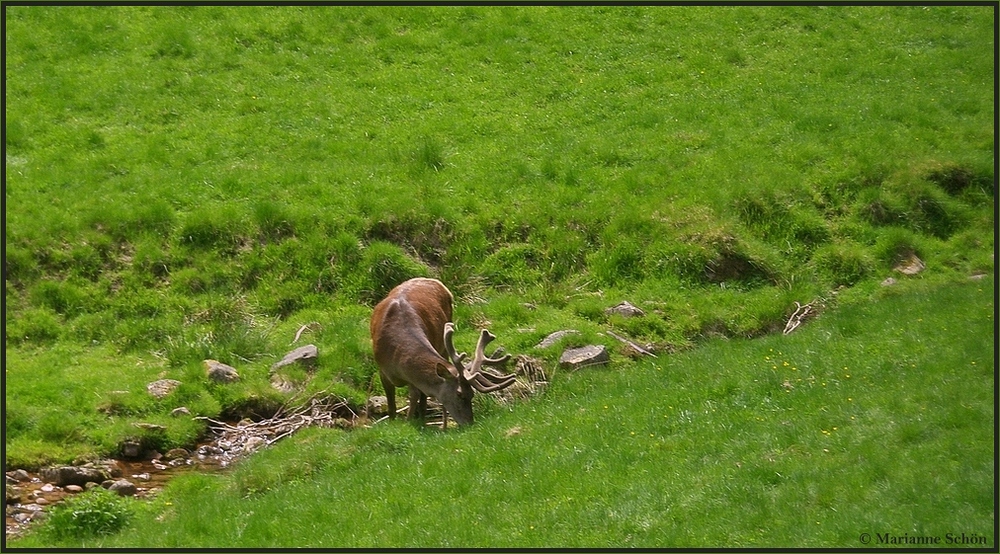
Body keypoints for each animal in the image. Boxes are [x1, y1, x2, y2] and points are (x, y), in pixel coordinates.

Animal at [372, 276, 520, 426]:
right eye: (459, 394)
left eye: (472, 394)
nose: (469, 423)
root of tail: (432, 279)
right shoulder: (382, 370)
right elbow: (392, 407)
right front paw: (398, 422)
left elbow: (418, 398)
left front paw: (416, 422)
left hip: (443, 342)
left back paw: (443, 426)